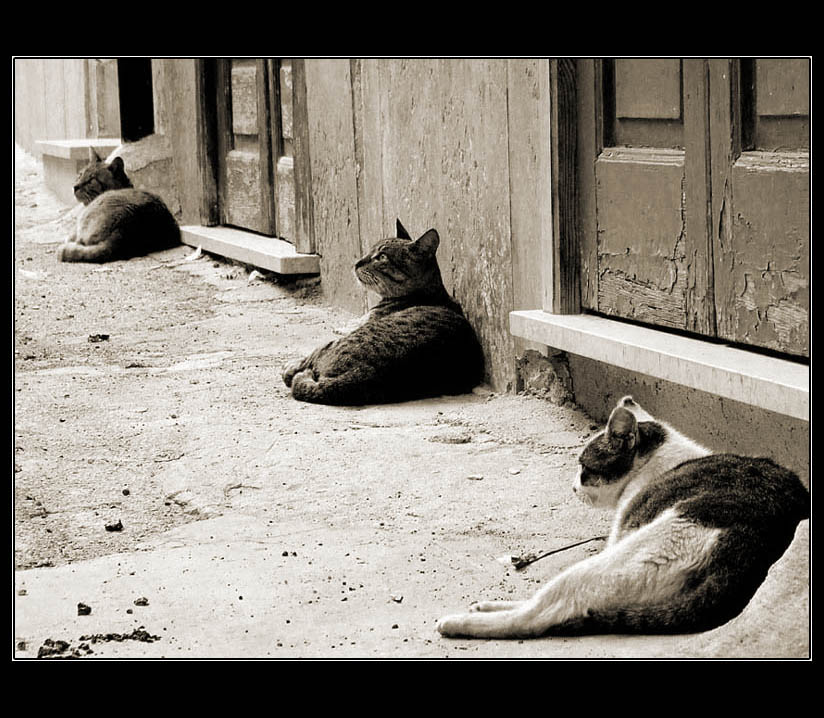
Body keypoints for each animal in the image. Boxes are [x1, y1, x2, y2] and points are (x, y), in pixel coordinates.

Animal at [440, 396, 808, 640]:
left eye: (584, 468)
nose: (573, 487)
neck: (655, 461)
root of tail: (753, 546)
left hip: (614, 559)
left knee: (543, 612)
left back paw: (461, 623)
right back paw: (488, 606)